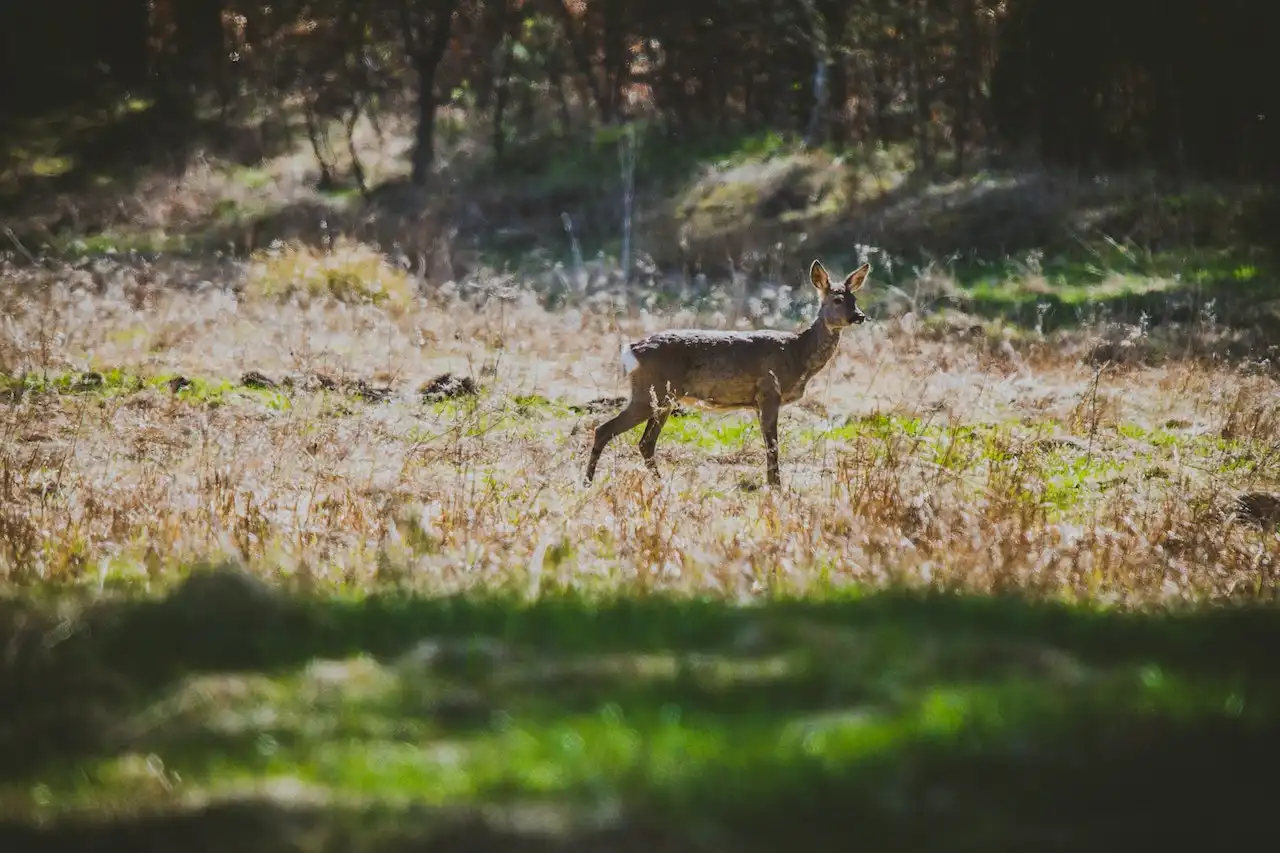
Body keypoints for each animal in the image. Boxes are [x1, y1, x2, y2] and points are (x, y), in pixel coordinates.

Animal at [586, 257, 870, 484]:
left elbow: (769, 445)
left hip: (662, 399)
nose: (860, 316)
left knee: (645, 443)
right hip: (649, 392)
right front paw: (776, 487)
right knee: (605, 430)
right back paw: (588, 482)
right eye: (837, 299)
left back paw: (658, 483)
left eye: (854, 298)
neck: (797, 353)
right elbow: (773, 446)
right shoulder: (769, 392)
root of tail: (631, 349)